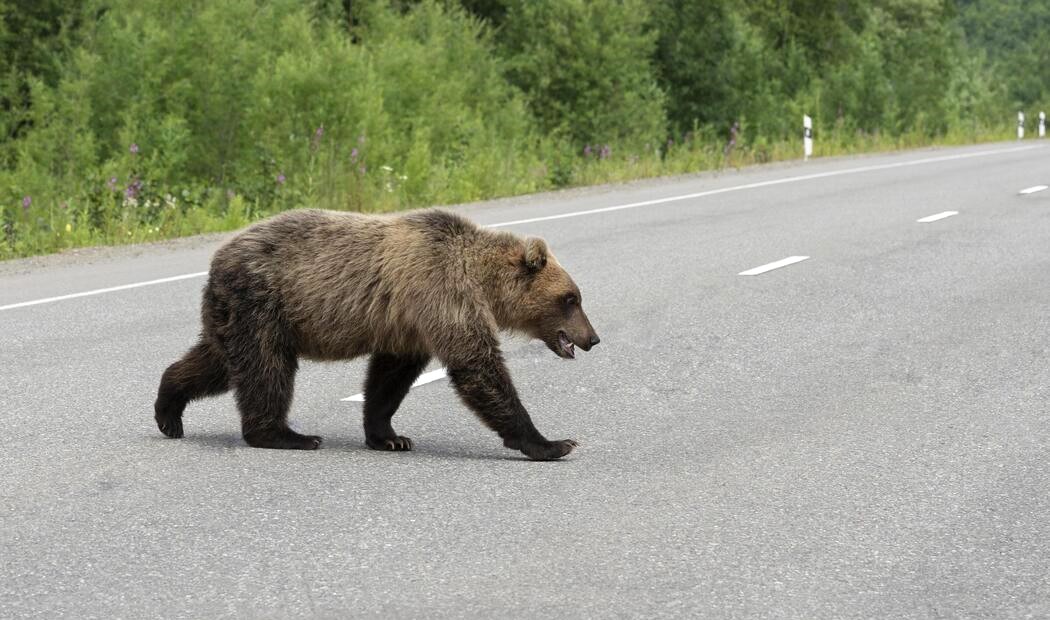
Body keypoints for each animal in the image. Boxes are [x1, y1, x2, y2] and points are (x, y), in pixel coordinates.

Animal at [154, 208, 600, 460]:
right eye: (571, 298)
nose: (592, 338)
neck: (481, 279)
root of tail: (217, 259)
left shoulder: (408, 323)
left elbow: (389, 378)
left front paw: (389, 436)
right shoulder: (440, 293)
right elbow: (476, 366)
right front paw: (553, 443)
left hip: (235, 314)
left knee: (218, 363)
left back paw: (169, 410)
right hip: (263, 304)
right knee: (265, 368)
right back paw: (288, 435)